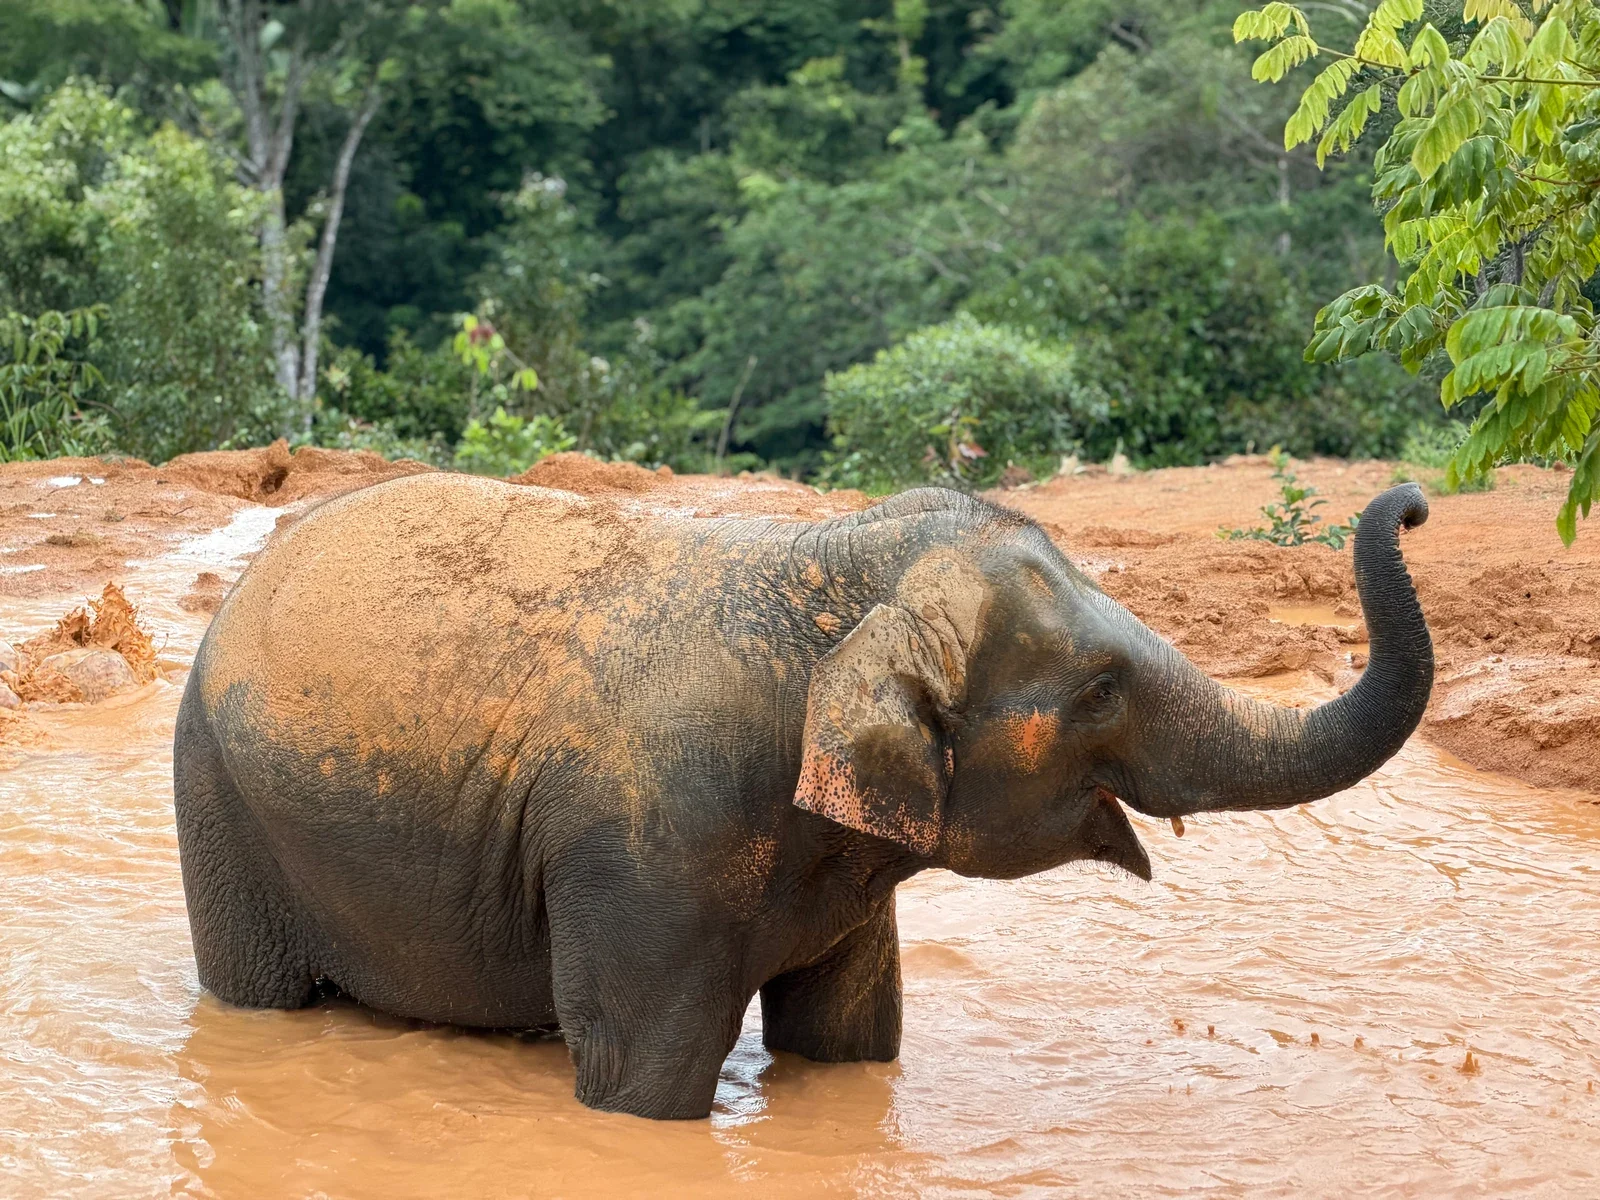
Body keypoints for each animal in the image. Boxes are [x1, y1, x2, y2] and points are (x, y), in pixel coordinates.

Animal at [172, 475, 1433, 1120]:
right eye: (1099, 690)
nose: (1411, 503)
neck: (826, 572)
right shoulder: (647, 854)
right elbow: (645, 1079)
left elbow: (851, 1038)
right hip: (218, 806)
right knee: (259, 992)